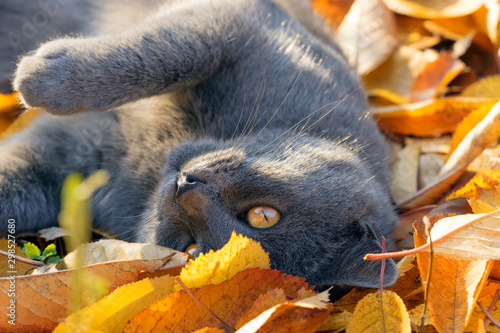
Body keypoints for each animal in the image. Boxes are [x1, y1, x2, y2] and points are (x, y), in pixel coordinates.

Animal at [0, 0, 398, 292]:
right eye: (264, 215)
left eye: (191, 249)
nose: (184, 187)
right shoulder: (243, 22)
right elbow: (163, 54)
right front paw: (42, 76)